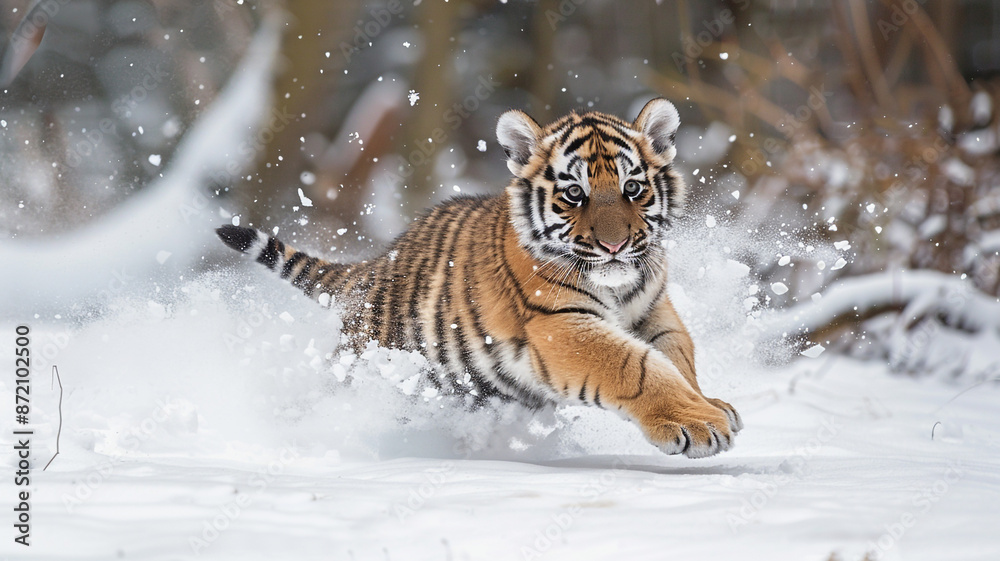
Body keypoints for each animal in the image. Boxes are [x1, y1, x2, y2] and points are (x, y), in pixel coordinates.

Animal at [217, 98, 742, 458]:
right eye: (575, 194)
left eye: (633, 188)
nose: (614, 246)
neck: (618, 285)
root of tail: (375, 265)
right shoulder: (559, 322)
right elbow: (636, 367)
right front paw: (698, 423)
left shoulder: (654, 311)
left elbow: (676, 358)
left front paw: (710, 403)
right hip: (365, 368)